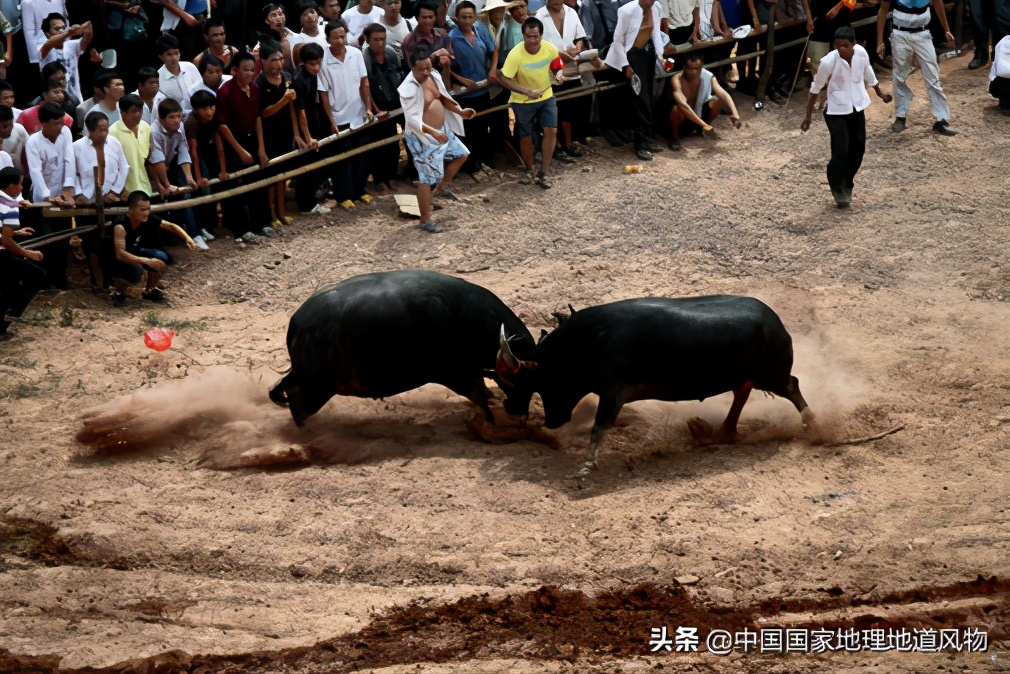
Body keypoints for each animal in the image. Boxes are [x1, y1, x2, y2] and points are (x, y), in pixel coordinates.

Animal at [268, 270, 537, 424]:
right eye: (518, 380)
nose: (518, 411)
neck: (462, 316)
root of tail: (297, 323)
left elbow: (480, 389)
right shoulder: (452, 372)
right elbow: (477, 393)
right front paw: (491, 419)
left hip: (307, 379)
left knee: (283, 390)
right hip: (317, 388)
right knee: (297, 403)